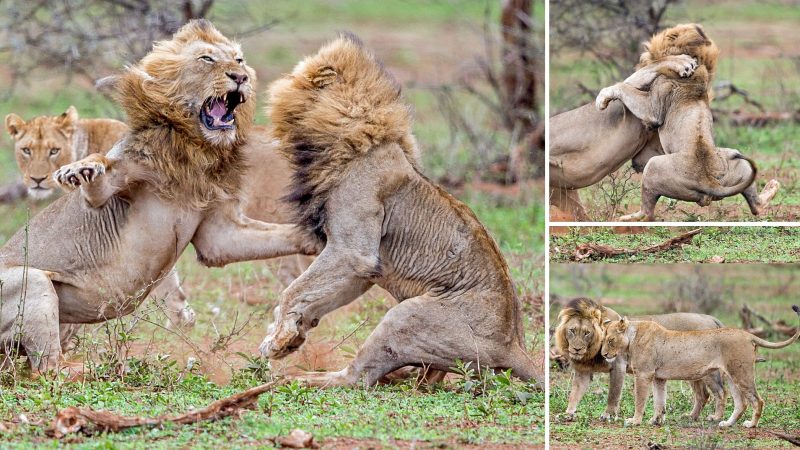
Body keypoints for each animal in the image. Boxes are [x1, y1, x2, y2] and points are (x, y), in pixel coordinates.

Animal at [0, 19, 314, 374]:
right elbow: (98, 173)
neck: (196, 150)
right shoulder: (110, 189)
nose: (240, 77)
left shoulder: (218, 234)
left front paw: (318, 237)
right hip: (34, 281)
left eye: (239, 60)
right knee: (49, 368)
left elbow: (277, 235)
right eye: (207, 59)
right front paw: (78, 170)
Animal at [260, 34, 540, 386]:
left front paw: (276, 340)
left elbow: (293, 289)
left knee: (356, 379)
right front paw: (292, 336)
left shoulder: (352, 253)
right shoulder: (363, 269)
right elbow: (314, 293)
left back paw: (297, 380)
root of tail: (514, 347)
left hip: (405, 315)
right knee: (426, 379)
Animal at [556, 298, 724, 422]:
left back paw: (714, 417)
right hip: (691, 372)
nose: (576, 349)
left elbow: (613, 394)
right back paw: (691, 417)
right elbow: (574, 394)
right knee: (703, 395)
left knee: (718, 392)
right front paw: (567, 414)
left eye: (587, 333)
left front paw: (608, 415)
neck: (591, 353)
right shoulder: (583, 371)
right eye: (572, 331)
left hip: (707, 371)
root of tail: (711, 318)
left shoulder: (619, 366)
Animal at [604, 306, 800, 428]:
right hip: (731, 375)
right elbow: (660, 401)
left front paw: (634, 421)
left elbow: (640, 400)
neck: (632, 337)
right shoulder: (659, 378)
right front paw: (656, 420)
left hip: (740, 374)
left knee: (756, 400)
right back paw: (726, 424)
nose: (604, 355)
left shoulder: (644, 374)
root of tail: (747, 334)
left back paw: (751, 425)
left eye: (610, 340)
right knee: (740, 402)